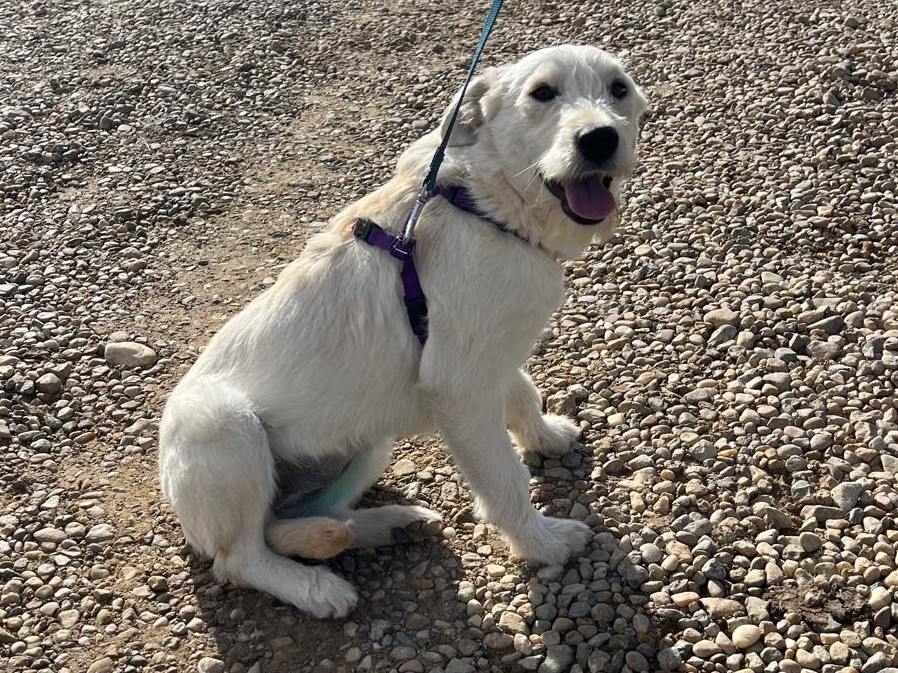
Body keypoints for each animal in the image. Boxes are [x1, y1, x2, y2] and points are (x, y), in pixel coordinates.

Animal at [158, 44, 648, 618]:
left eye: (618, 89)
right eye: (542, 93)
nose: (599, 138)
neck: (485, 205)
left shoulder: (490, 357)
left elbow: (524, 394)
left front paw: (547, 437)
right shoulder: (461, 387)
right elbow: (506, 480)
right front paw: (542, 544)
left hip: (368, 446)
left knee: (290, 525)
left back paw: (388, 525)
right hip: (221, 426)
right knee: (241, 557)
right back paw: (317, 588)